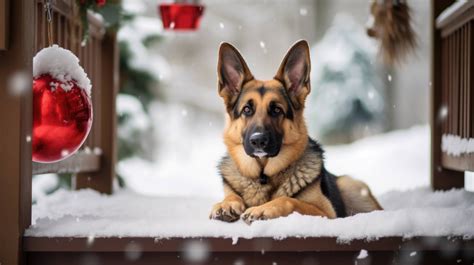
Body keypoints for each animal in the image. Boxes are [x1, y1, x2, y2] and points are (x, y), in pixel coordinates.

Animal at [210, 40, 382, 224]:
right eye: (247, 110)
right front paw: (226, 204)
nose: (258, 141)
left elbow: (288, 199)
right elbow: (231, 196)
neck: (263, 175)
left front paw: (262, 209)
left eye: (277, 110)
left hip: (351, 185)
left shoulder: (326, 212)